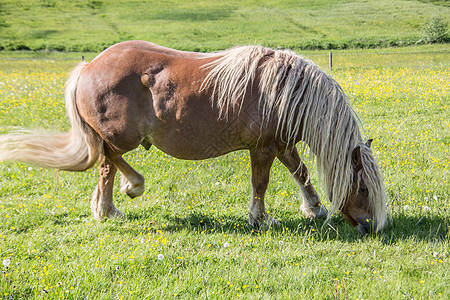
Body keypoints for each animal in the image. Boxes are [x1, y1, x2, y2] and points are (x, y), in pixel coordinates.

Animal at [0, 40, 386, 234]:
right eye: (364, 189)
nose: (373, 228)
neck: (284, 91)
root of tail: (89, 67)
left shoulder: (282, 144)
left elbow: (301, 173)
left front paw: (314, 208)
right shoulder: (262, 148)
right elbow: (260, 183)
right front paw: (261, 218)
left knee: (106, 162)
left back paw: (113, 202)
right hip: (120, 137)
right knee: (108, 161)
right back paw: (120, 198)